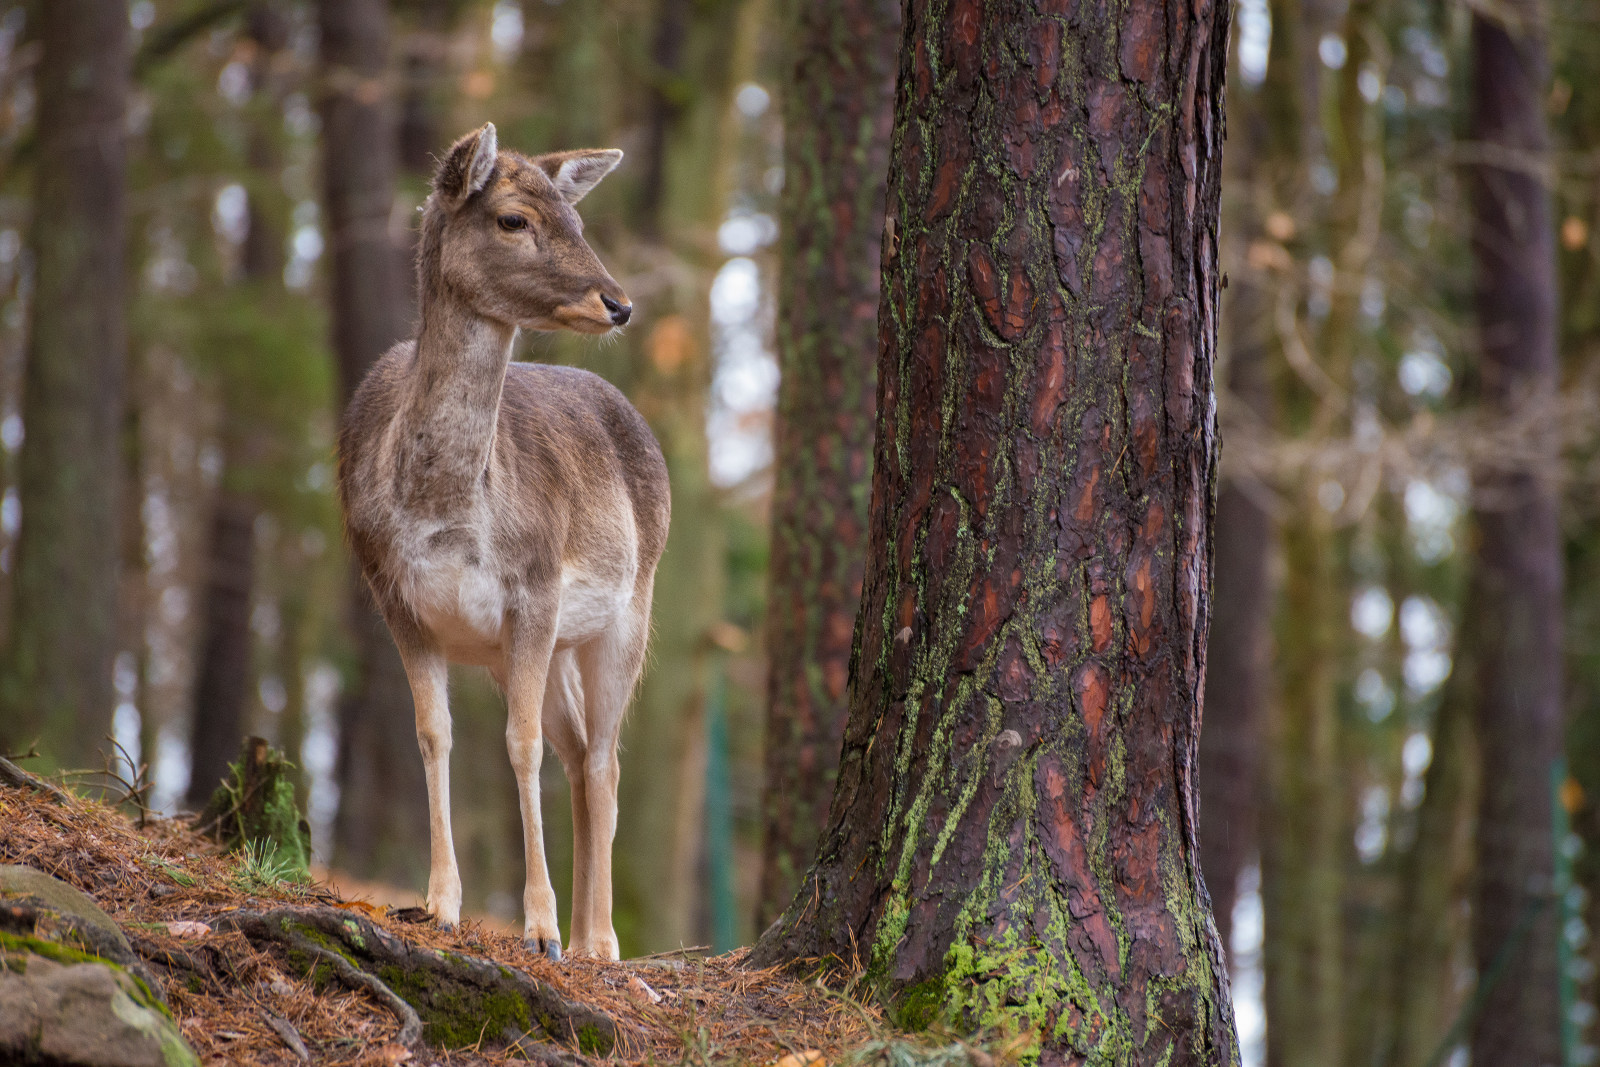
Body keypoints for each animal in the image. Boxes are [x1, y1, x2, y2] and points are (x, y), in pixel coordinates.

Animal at [337, 123, 668, 961]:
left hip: (631, 609)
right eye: (513, 218)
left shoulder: (537, 587)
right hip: (536, 651)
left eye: (578, 218)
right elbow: (434, 735)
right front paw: (440, 904)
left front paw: (539, 927)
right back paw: (585, 934)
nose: (619, 303)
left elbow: (520, 747)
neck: (446, 510)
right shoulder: (397, 599)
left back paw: (598, 941)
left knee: (606, 759)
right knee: (581, 752)